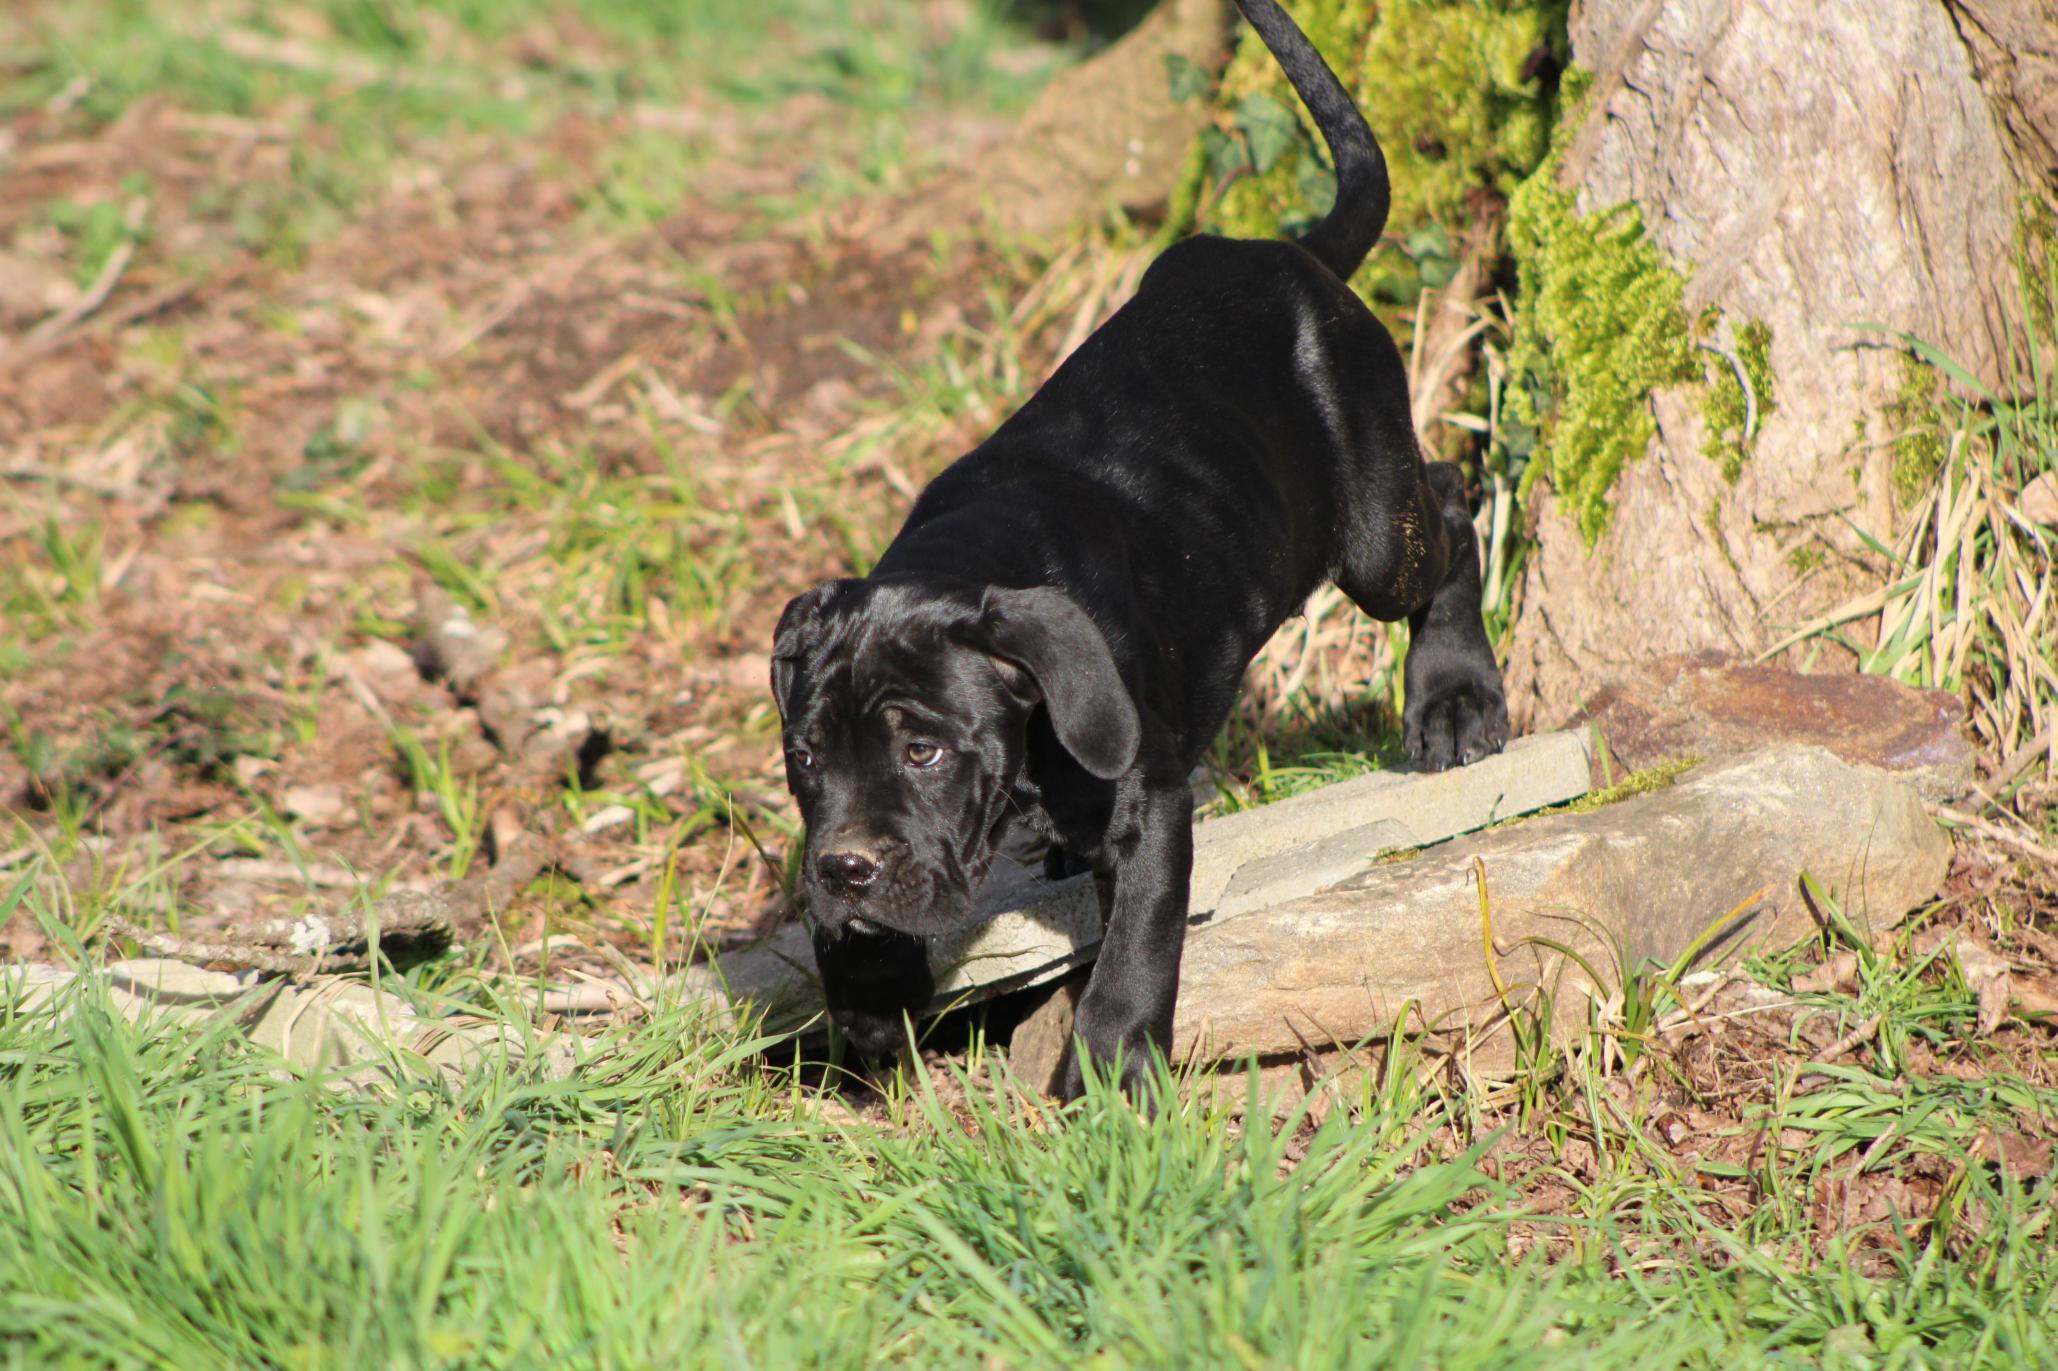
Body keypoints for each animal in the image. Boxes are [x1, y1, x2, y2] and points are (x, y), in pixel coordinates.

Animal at [769, 0, 1498, 1095]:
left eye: (926, 751)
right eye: (806, 758)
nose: (846, 870)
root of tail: (1294, 255)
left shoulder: (1149, 805)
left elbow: (1138, 946)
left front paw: (1111, 1068)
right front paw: (863, 985)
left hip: (1374, 526)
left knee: (1452, 505)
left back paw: (1457, 701)